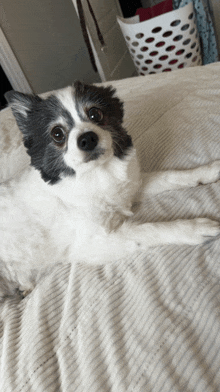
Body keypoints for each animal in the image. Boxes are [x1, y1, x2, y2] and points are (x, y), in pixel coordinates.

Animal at [0, 81, 220, 298]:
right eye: (57, 134)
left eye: (95, 114)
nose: (87, 138)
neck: (96, 175)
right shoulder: (94, 244)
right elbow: (148, 229)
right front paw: (195, 228)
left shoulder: (132, 188)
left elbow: (172, 176)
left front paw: (208, 171)